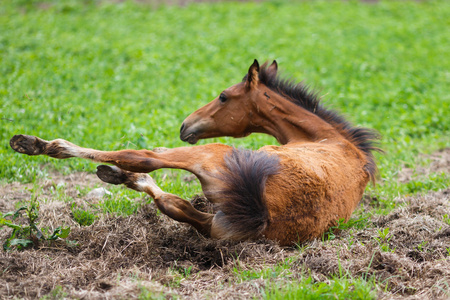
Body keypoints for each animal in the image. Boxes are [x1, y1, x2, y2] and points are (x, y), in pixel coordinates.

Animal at [9, 59, 380, 246]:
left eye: (223, 96)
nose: (186, 125)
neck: (327, 139)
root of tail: (262, 212)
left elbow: (147, 153)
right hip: (216, 219)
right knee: (174, 205)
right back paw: (117, 175)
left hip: (212, 153)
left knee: (143, 158)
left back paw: (38, 144)